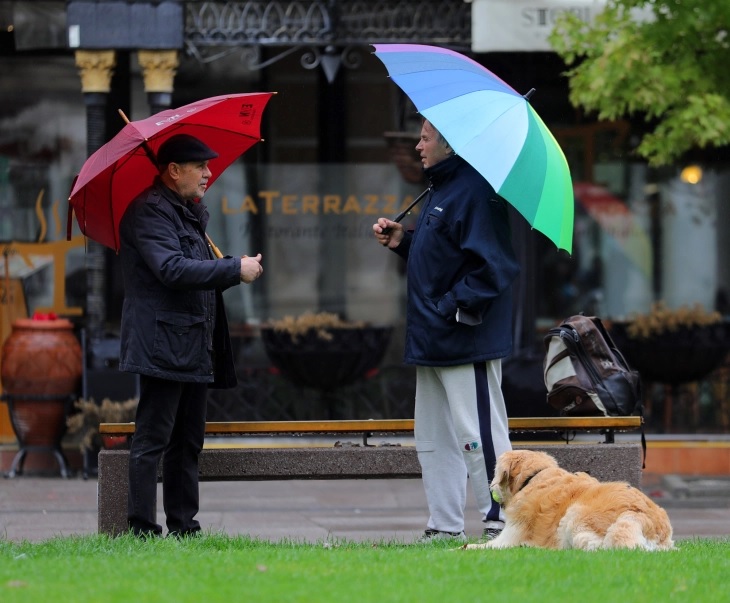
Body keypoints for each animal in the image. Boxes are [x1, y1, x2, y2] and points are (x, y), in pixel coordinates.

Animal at [464, 448, 672, 552]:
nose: (490, 486)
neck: (534, 477)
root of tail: (649, 520)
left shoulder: (508, 538)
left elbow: (476, 547)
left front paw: (462, 548)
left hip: (574, 517)